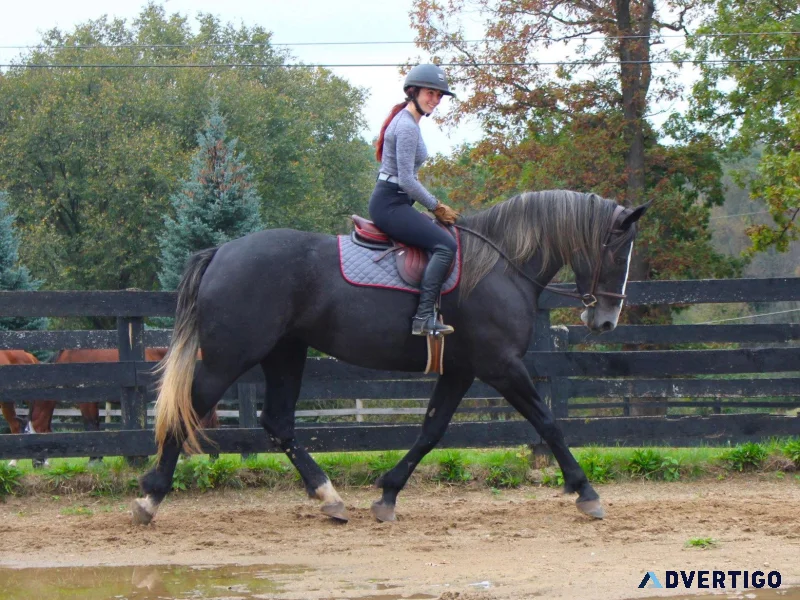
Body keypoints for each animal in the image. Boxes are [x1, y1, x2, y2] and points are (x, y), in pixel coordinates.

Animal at [132, 190, 648, 526]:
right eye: (617, 248)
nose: (606, 320)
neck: (500, 267)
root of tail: (223, 251)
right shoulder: (501, 367)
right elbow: (548, 423)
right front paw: (586, 491)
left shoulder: (461, 370)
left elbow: (431, 432)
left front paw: (388, 493)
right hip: (230, 358)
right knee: (184, 412)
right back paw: (151, 499)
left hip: (285, 353)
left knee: (278, 422)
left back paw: (329, 497)